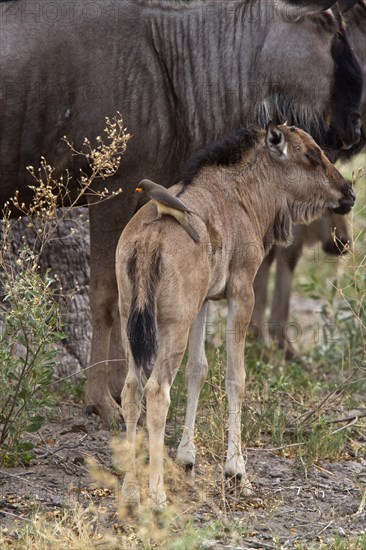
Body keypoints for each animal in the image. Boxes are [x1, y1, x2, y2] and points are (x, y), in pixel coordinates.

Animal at [116, 125, 354, 508]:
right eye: (312, 155)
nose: (348, 193)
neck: (245, 195)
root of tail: (147, 240)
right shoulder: (242, 293)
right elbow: (235, 377)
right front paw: (236, 471)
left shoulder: (203, 301)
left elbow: (198, 370)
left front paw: (187, 460)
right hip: (172, 325)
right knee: (157, 391)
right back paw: (157, 495)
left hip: (132, 320)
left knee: (132, 389)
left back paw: (128, 490)